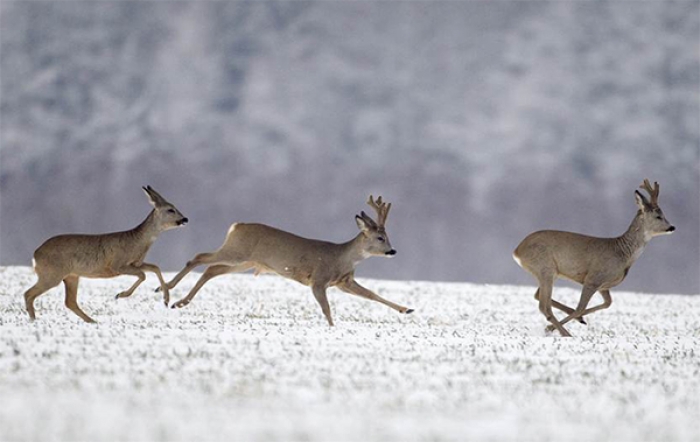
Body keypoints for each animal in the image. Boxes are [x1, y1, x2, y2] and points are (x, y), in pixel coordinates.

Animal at [23, 185, 189, 322]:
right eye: (170, 209)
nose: (185, 219)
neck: (136, 242)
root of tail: (35, 254)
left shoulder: (136, 263)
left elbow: (155, 267)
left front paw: (166, 299)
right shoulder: (117, 265)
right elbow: (143, 275)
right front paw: (120, 295)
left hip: (71, 276)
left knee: (69, 301)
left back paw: (92, 321)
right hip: (52, 274)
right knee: (28, 293)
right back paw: (33, 319)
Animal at [161, 195, 412, 326]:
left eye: (387, 236)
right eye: (380, 238)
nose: (393, 251)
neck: (341, 258)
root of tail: (236, 226)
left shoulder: (343, 282)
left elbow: (372, 294)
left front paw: (406, 309)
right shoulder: (318, 280)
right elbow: (326, 308)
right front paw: (332, 327)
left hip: (245, 261)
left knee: (211, 269)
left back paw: (179, 302)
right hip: (236, 252)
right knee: (198, 258)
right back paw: (166, 291)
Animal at [512, 178, 676, 336]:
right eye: (658, 216)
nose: (672, 227)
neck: (623, 254)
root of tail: (517, 251)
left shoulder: (604, 285)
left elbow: (608, 303)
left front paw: (578, 319)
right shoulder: (593, 278)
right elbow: (581, 307)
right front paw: (551, 328)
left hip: (549, 273)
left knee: (538, 296)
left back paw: (573, 321)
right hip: (544, 268)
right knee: (543, 305)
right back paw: (565, 333)